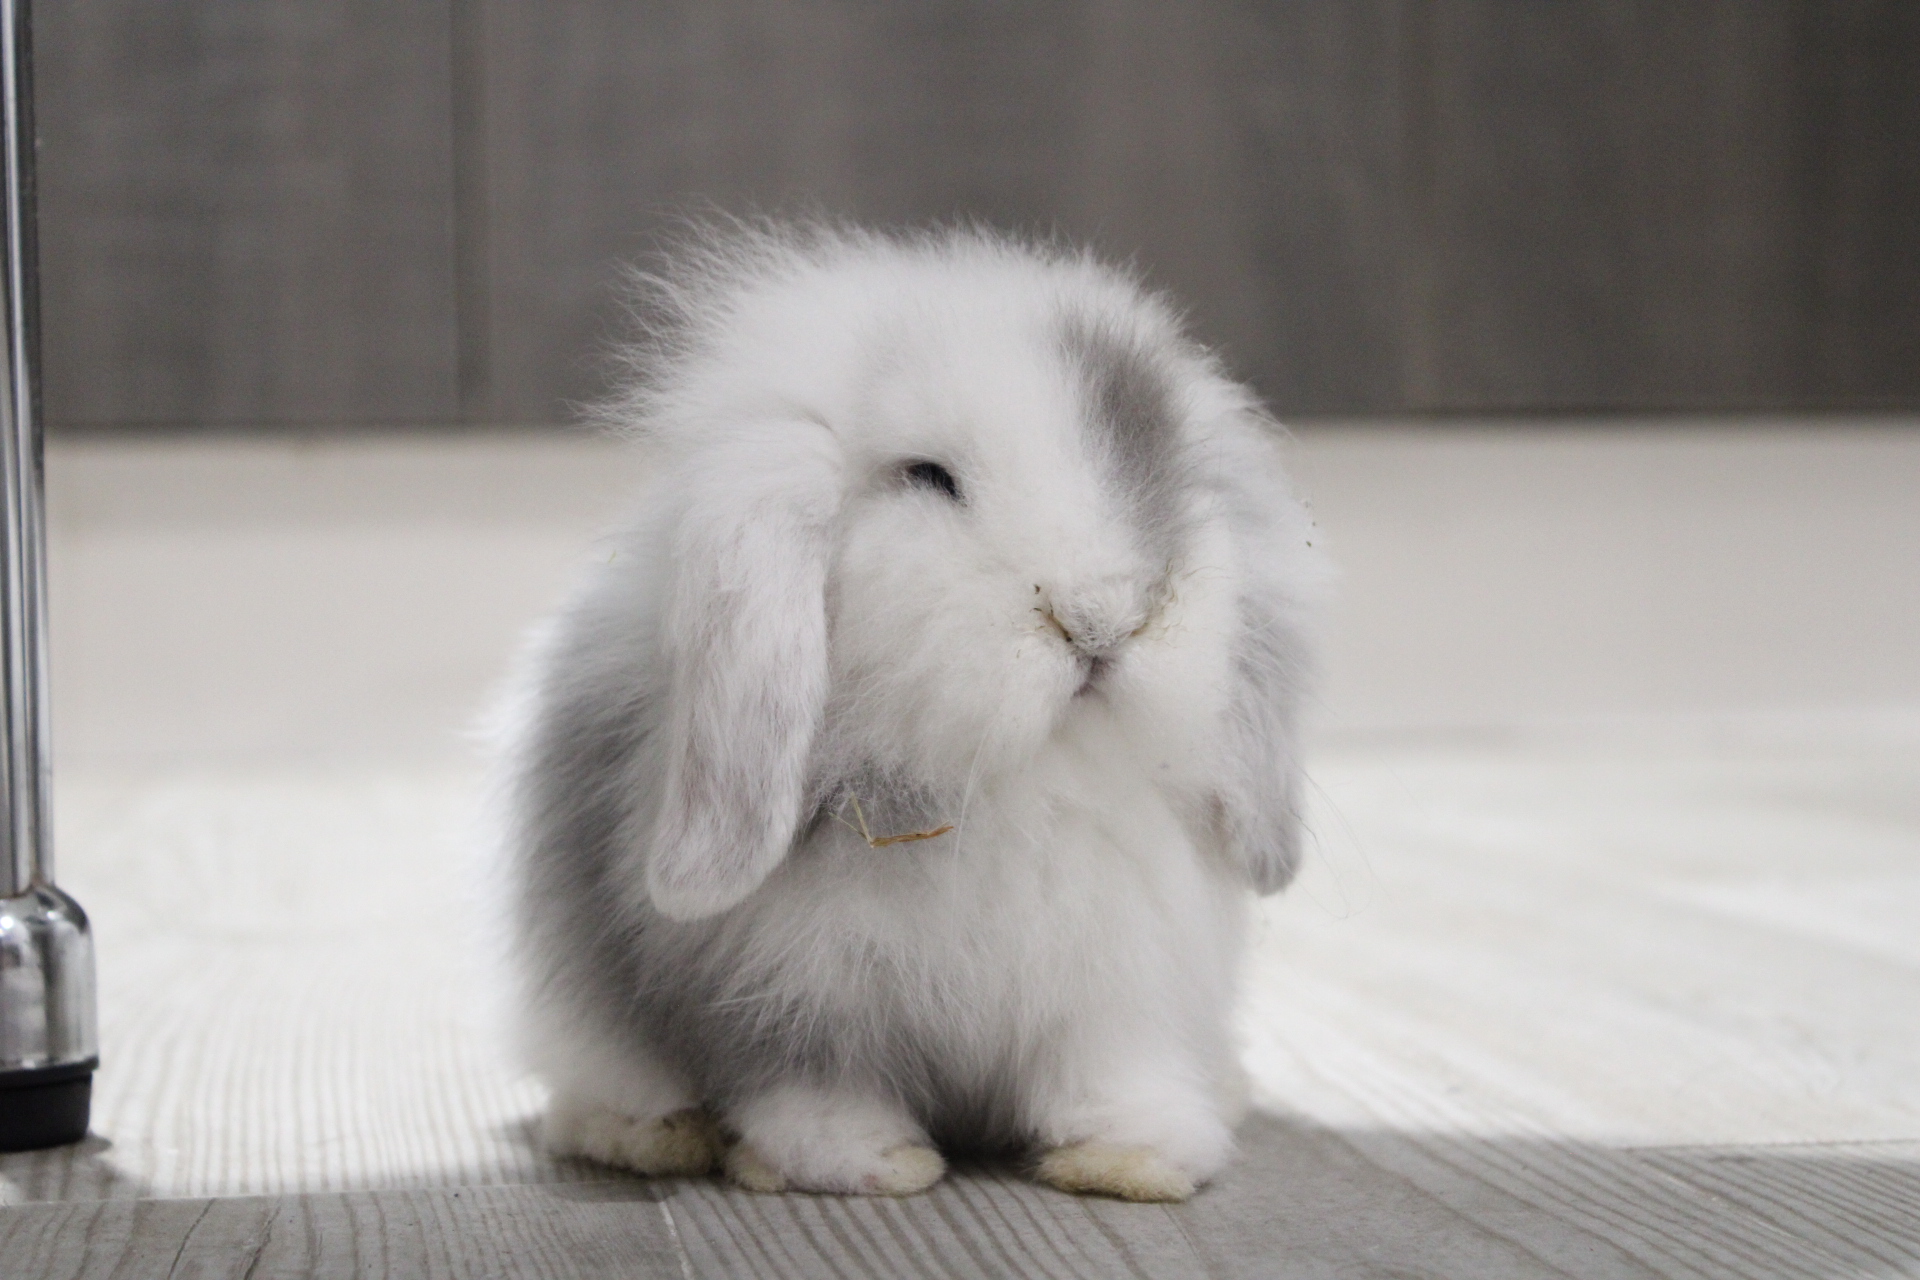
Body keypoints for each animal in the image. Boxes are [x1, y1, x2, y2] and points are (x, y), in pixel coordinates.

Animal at [493, 222, 1325, 1202]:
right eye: (928, 477)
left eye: (1167, 471)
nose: (1103, 616)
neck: (1015, 782)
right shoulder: (788, 1000)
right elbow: (811, 1091)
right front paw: (872, 1165)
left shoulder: (1114, 992)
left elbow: (1111, 1076)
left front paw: (1135, 1162)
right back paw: (652, 1137)